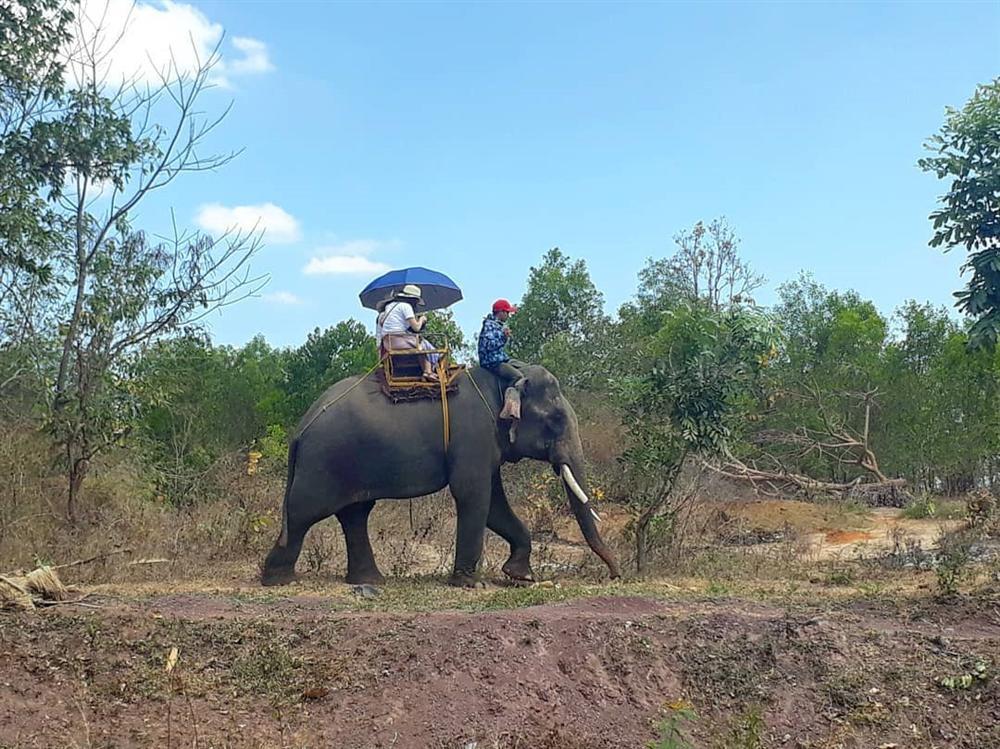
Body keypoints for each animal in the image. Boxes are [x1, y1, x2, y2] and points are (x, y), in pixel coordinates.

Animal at [260, 362, 616, 584]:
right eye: (555, 420)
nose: (616, 575)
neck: (503, 379)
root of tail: (301, 427)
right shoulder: (473, 434)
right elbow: (474, 495)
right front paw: (472, 584)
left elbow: (494, 503)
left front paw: (521, 576)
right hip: (325, 460)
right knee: (304, 511)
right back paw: (276, 579)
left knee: (355, 514)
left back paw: (371, 580)